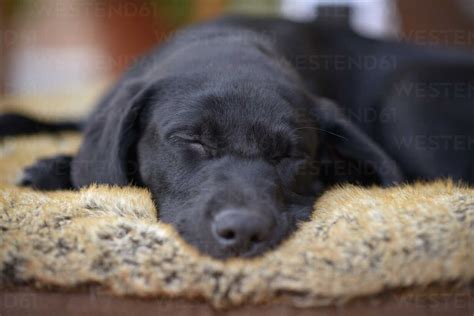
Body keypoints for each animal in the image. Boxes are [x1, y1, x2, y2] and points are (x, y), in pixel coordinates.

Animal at [1, 14, 472, 258]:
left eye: (289, 155)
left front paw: (54, 167)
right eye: (192, 140)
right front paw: (45, 153)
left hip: (409, 94)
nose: (243, 232)